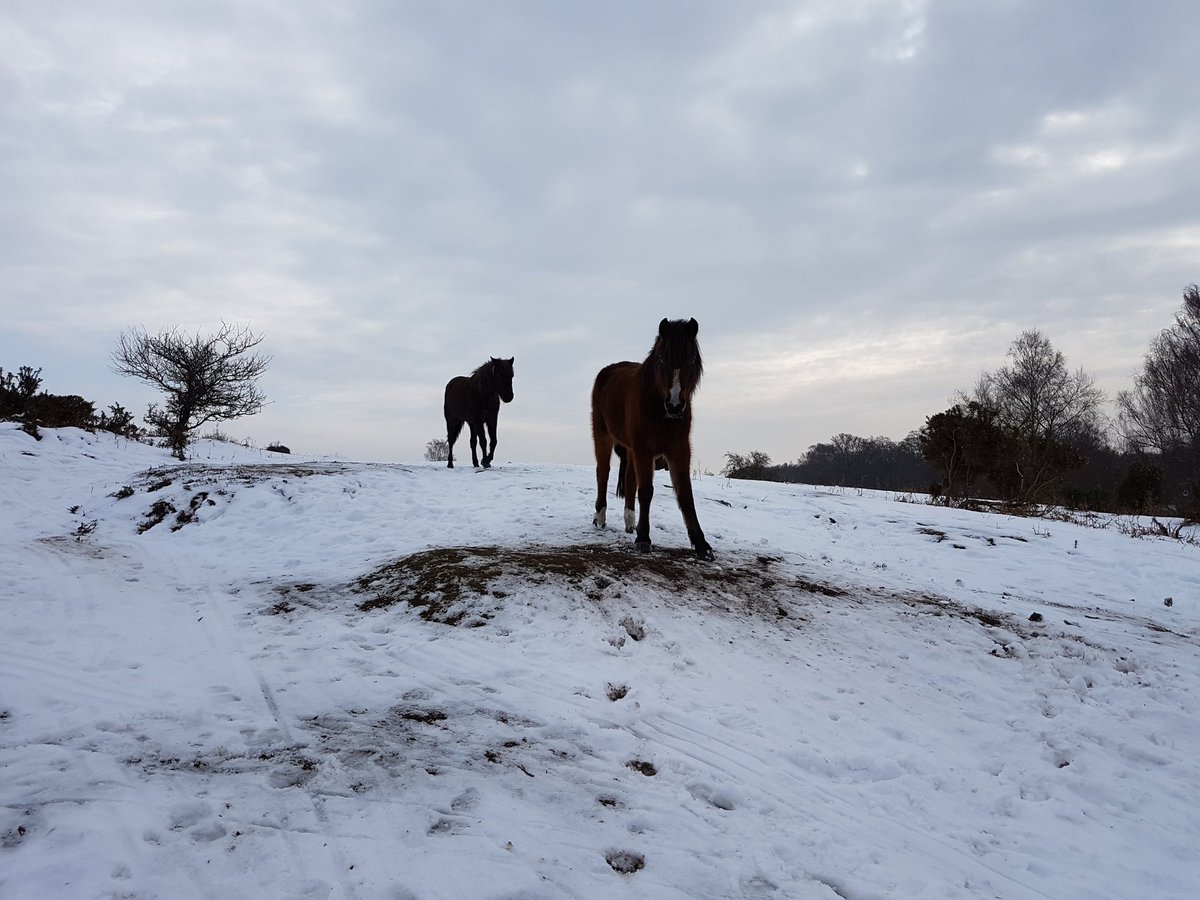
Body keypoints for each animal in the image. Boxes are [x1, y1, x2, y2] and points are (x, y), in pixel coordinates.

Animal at [591, 318, 713, 560]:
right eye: (663, 358)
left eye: (691, 358)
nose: (675, 405)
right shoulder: (644, 449)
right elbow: (646, 491)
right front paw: (643, 539)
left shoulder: (679, 450)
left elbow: (686, 495)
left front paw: (701, 544)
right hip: (603, 436)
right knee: (603, 473)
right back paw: (600, 518)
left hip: (630, 449)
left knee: (629, 479)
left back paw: (630, 523)